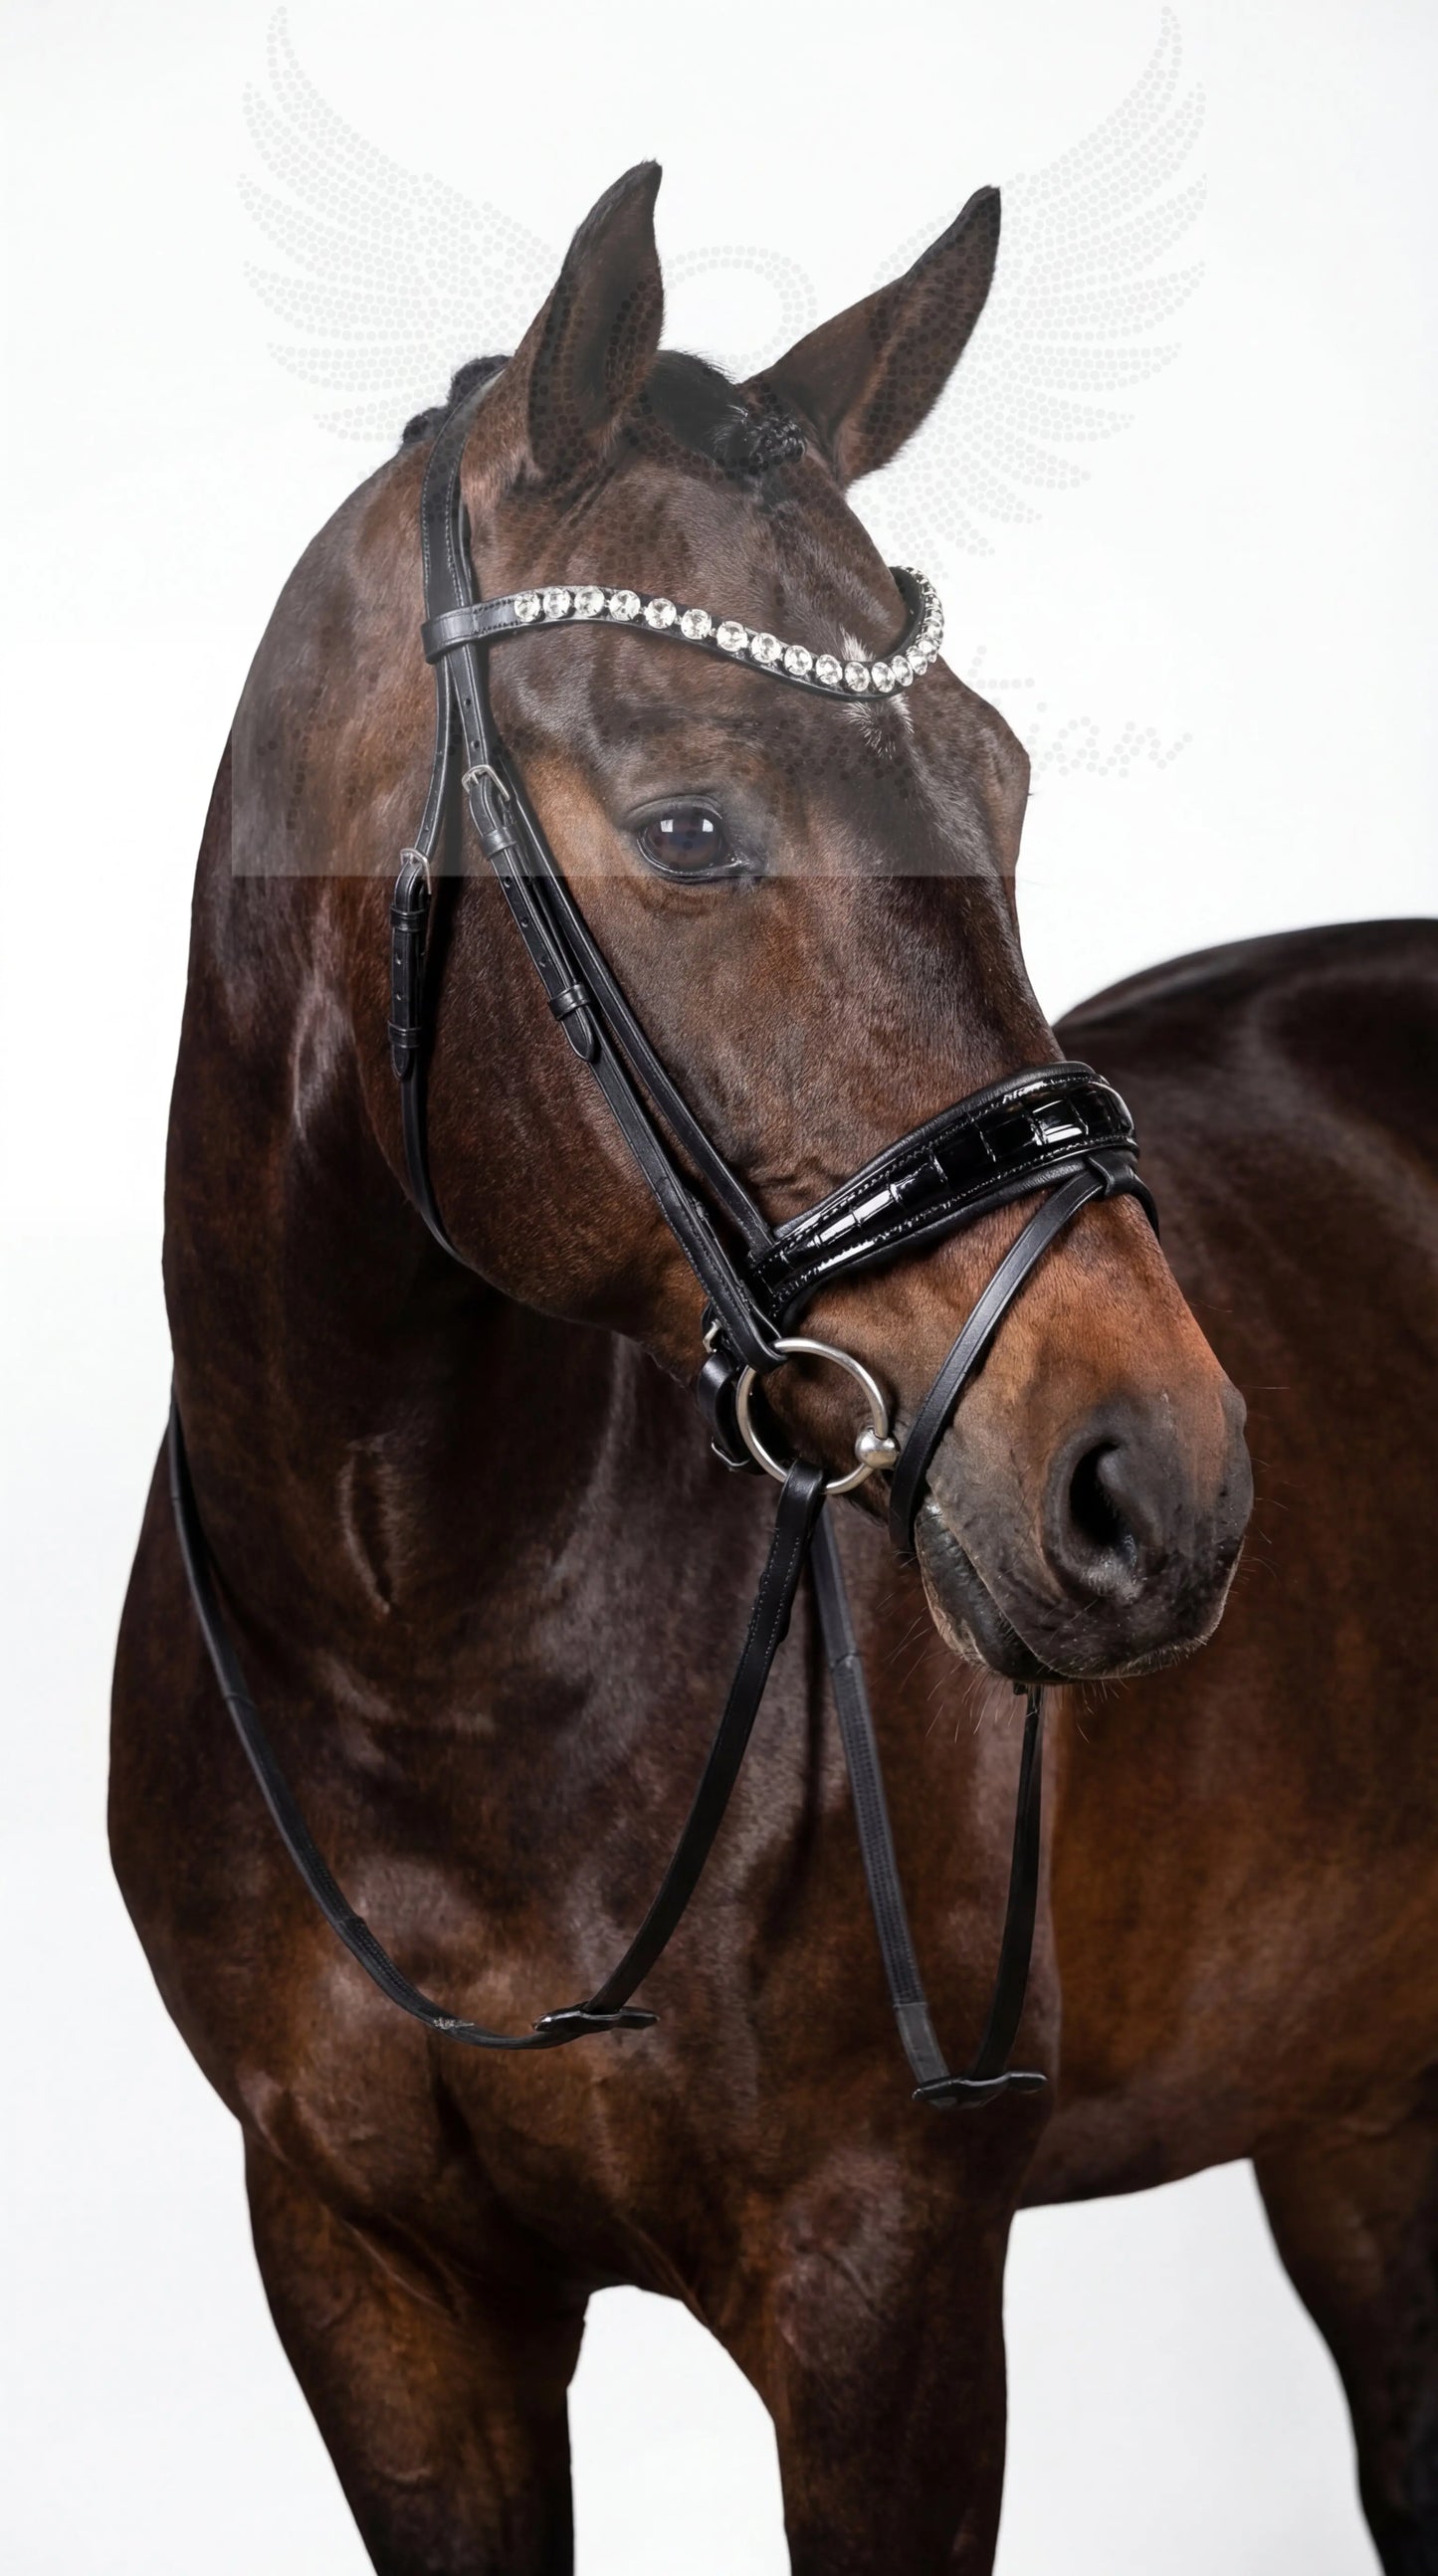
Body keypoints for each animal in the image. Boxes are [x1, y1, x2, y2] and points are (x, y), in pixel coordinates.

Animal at [110, 160, 1438, 2572]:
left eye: (1002, 778)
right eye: (693, 827)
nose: (1154, 1476)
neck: (423, 1638)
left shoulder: (881, 2288)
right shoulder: (372, 2290)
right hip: (1358, 2104)